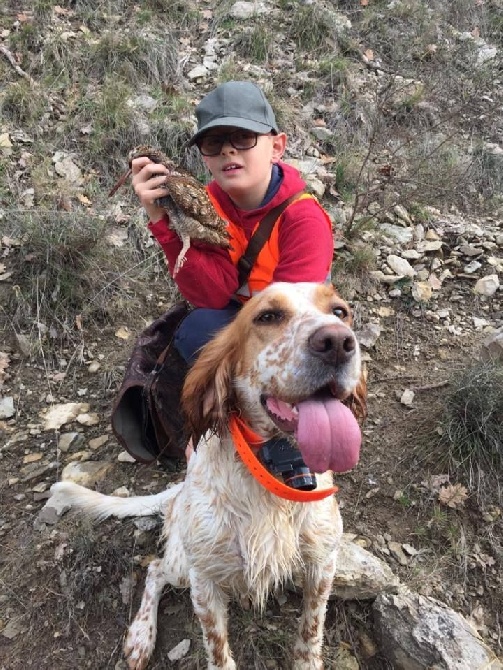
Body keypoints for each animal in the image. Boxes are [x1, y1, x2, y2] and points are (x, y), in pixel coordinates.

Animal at [50, 280, 366, 668]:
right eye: (268, 316)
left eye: (340, 312)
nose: (337, 342)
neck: (270, 473)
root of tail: (177, 492)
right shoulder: (204, 579)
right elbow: (217, 648)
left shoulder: (322, 563)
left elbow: (311, 629)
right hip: (183, 566)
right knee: (155, 569)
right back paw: (141, 636)